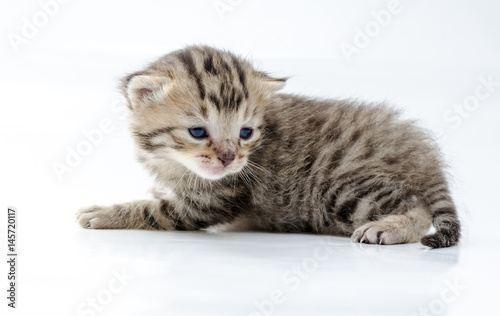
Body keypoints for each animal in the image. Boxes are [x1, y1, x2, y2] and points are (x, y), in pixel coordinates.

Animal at [76, 45, 462, 247]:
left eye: (245, 133)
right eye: (198, 132)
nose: (229, 159)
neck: (173, 162)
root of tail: (419, 150)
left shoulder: (210, 202)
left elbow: (153, 211)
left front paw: (105, 213)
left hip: (342, 185)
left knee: (418, 206)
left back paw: (387, 227)